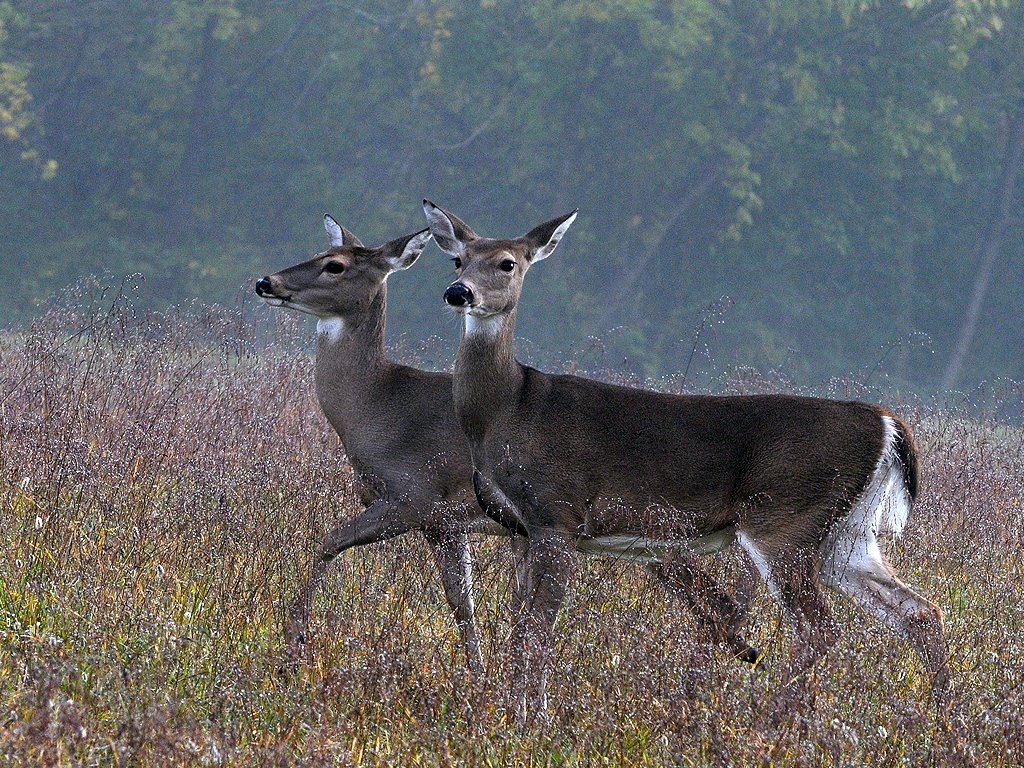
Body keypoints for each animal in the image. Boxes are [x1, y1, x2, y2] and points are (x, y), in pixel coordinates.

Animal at [423, 198, 950, 720]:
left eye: (507, 263)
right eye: (457, 260)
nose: (458, 292)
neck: (509, 409)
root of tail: (885, 422)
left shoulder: (558, 514)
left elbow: (536, 631)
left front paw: (530, 719)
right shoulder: (523, 527)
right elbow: (518, 628)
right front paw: (513, 710)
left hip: (785, 520)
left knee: (820, 626)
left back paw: (769, 719)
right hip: (848, 534)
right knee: (920, 611)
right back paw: (944, 716)